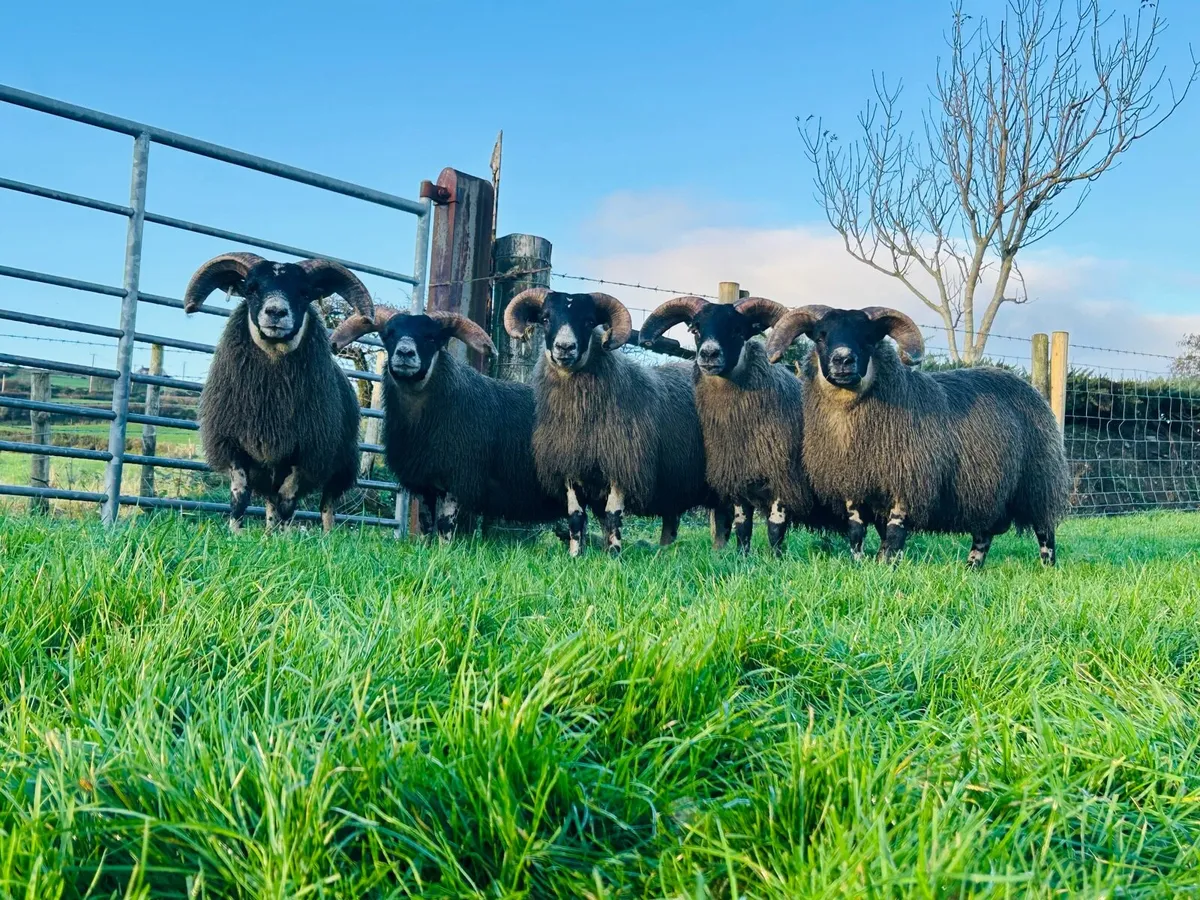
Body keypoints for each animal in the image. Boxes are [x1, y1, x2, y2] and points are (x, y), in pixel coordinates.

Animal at [183, 252, 369, 533]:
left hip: (340, 463)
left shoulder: (305, 451)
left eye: (304, 292)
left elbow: (288, 499)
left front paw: (286, 536)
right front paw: (235, 533)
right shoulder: (234, 444)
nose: (275, 312)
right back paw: (269, 533)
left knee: (326, 503)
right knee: (271, 502)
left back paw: (325, 535)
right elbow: (240, 496)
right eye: (250, 289)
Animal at [328, 306, 567, 540]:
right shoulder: (424, 482)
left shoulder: (456, 478)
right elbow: (425, 525)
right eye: (388, 334)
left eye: (431, 337)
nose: (405, 353)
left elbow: (444, 526)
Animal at [503, 288, 714, 557]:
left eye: (589, 321)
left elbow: (613, 515)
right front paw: (576, 555)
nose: (564, 347)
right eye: (545, 318)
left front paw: (613, 555)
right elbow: (576, 516)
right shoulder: (570, 465)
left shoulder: (621, 464)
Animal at [638, 295, 839, 555]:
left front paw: (775, 558)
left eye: (737, 330)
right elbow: (743, 527)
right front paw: (742, 557)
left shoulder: (784, 481)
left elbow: (775, 529)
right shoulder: (737, 481)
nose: (709, 354)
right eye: (696, 329)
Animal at [764, 305, 1069, 566]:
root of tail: (1027, 387)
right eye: (820, 336)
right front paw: (861, 564)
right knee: (984, 534)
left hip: (1038, 481)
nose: (843, 360)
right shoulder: (853, 482)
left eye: (868, 338)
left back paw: (1047, 566)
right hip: (987, 490)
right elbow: (856, 530)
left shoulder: (907, 479)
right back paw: (972, 567)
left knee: (1045, 529)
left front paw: (887, 566)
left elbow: (895, 531)